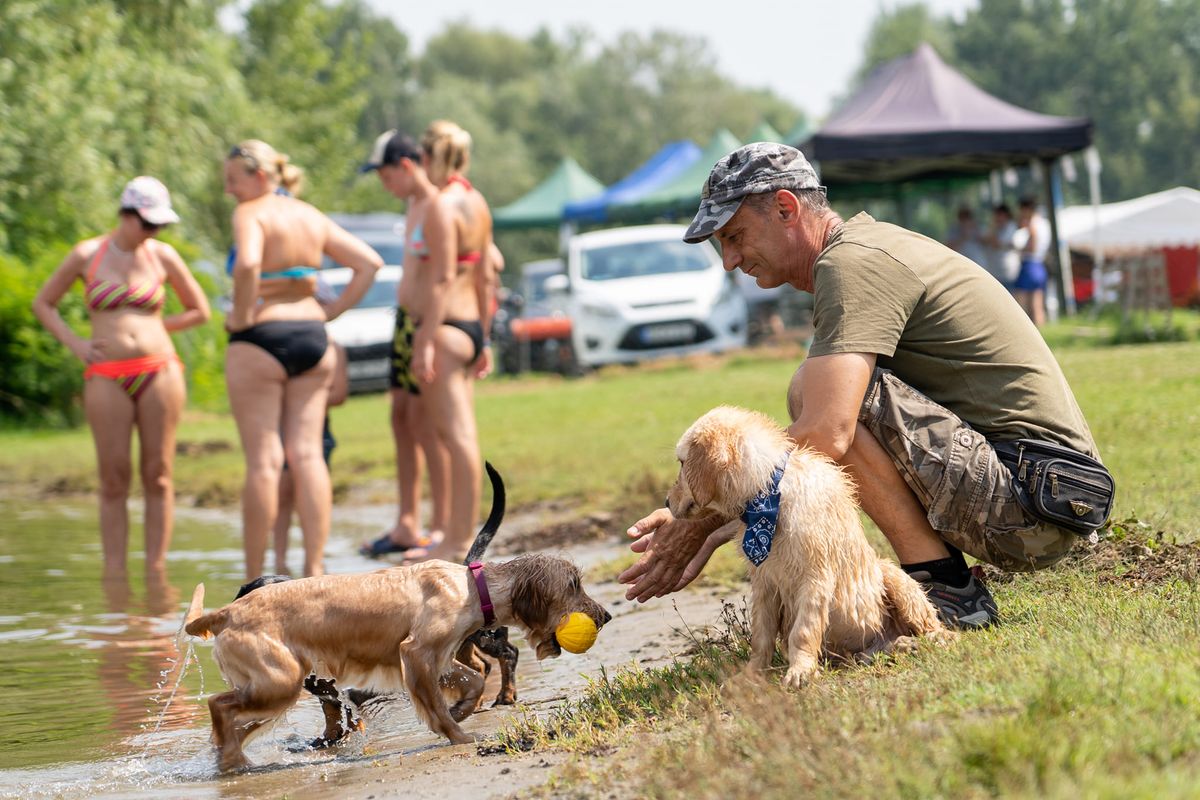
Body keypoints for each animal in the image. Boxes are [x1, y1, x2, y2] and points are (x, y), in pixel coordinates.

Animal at [231, 462, 518, 753]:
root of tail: (465, 566)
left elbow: (338, 710)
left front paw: (333, 737)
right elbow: (334, 710)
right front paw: (328, 738)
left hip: (486, 635)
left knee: (508, 654)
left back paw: (504, 695)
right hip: (462, 646)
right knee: (481, 666)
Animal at [672, 407, 950, 690]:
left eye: (682, 463)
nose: (666, 501)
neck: (769, 497)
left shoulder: (814, 577)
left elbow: (803, 631)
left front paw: (801, 671)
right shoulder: (764, 583)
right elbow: (761, 635)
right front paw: (750, 675)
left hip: (893, 576)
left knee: (931, 622)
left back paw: (932, 639)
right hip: (864, 647)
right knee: (877, 651)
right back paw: (903, 644)